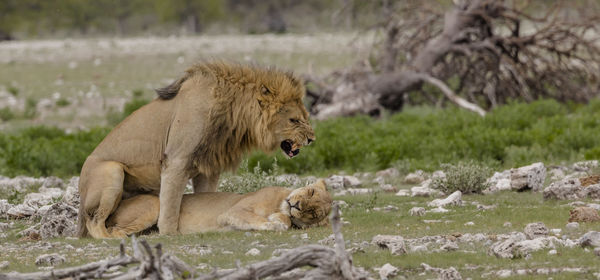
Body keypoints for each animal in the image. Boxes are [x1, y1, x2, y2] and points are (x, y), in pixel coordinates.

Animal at [77, 62, 316, 237]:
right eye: (294, 120)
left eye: (306, 117)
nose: (312, 139)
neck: (231, 114)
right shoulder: (176, 161)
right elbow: (170, 207)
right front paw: (169, 234)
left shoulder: (208, 168)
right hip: (111, 170)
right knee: (94, 222)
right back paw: (113, 236)